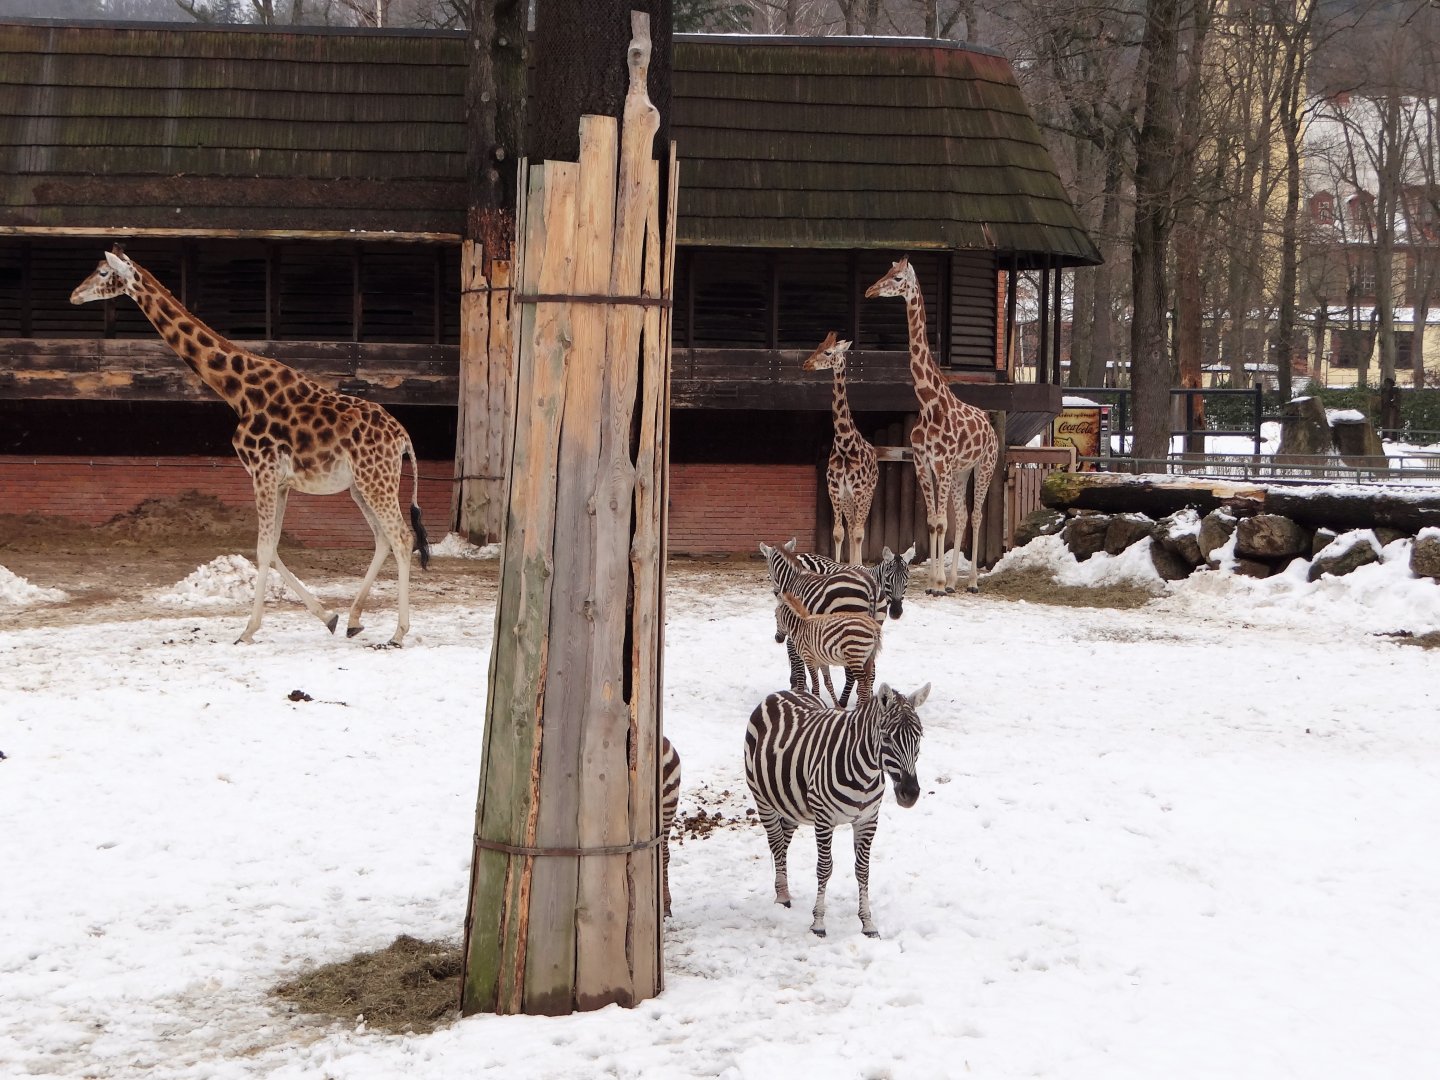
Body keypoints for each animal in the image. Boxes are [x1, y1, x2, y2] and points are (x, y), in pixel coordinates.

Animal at [70, 248, 431, 646]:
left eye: (103, 273)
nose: (74, 295)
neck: (238, 392)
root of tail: (403, 437)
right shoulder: (281, 481)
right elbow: (271, 548)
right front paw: (329, 616)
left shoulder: (262, 470)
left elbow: (262, 549)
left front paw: (247, 630)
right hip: (359, 485)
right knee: (383, 538)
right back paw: (354, 619)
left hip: (375, 479)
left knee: (402, 537)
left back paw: (398, 633)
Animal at [744, 682, 929, 938]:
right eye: (886, 737)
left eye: (919, 736)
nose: (910, 793)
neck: (865, 773)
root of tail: (781, 692)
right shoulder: (824, 819)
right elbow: (824, 868)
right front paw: (818, 923)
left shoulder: (868, 820)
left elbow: (863, 870)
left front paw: (867, 924)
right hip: (763, 799)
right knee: (776, 843)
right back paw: (782, 897)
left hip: (792, 804)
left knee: (783, 841)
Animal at [804, 331, 879, 565]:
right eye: (817, 346)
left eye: (828, 352)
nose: (806, 364)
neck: (845, 442)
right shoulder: (835, 489)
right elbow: (839, 532)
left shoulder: (860, 490)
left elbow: (858, 532)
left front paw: (857, 567)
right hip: (848, 498)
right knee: (852, 524)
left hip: (868, 493)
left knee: (859, 527)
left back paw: (858, 564)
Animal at [864, 256, 998, 594]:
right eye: (886, 272)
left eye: (898, 277)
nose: (871, 290)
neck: (929, 404)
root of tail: (991, 429)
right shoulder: (923, 463)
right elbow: (932, 521)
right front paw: (935, 582)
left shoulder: (943, 463)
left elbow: (940, 522)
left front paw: (935, 584)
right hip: (962, 471)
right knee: (961, 516)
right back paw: (952, 582)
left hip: (984, 466)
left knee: (976, 515)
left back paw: (971, 582)